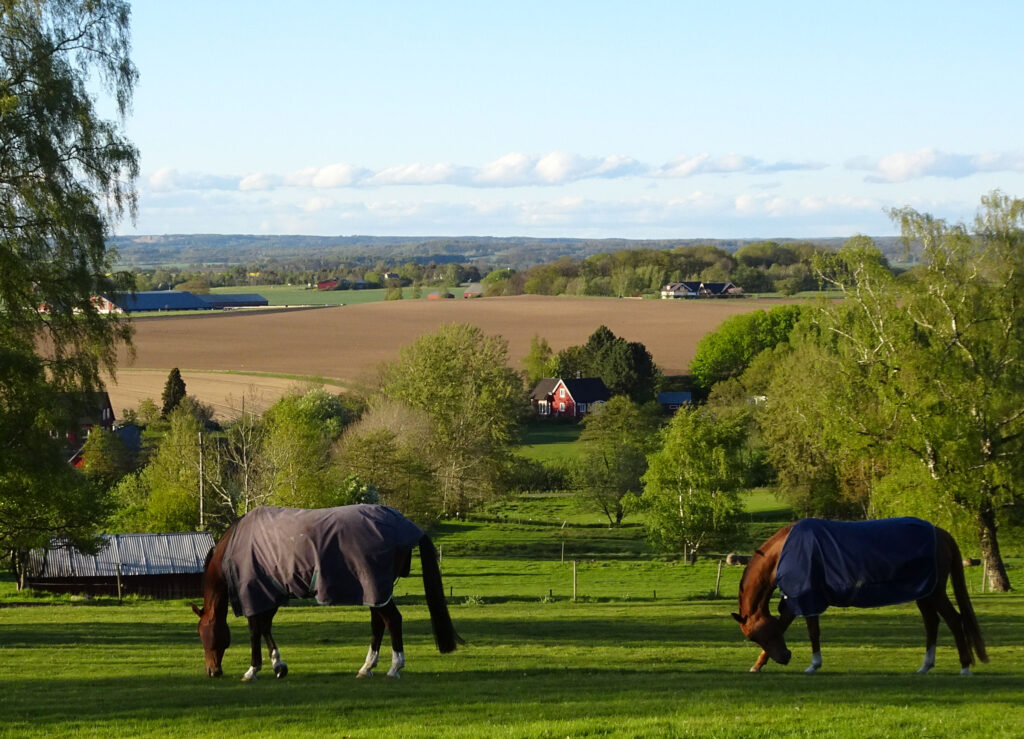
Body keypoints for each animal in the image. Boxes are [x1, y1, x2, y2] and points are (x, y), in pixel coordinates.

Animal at [192, 504, 461, 681]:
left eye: (204, 635)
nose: (212, 671)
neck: (235, 546)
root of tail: (404, 524)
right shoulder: (272, 595)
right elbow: (266, 628)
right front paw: (278, 665)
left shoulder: (254, 595)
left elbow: (255, 631)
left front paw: (253, 669)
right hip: (377, 591)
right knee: (379, 623)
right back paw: (367, 667)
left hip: (375, 587)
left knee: (393, 620)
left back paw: (395, 667)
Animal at [731, 517, 988, 675]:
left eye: (757, 635)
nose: (785, 657)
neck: (787, 549)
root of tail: (941, 533)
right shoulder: (797, 601)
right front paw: (759, 665)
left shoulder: (805, 597)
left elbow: (811, 631)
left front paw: (813, 665)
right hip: (924, 592)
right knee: (932, 622)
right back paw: (926, 666)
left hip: (934, 592)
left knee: (954, 620)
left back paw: (965, 667)